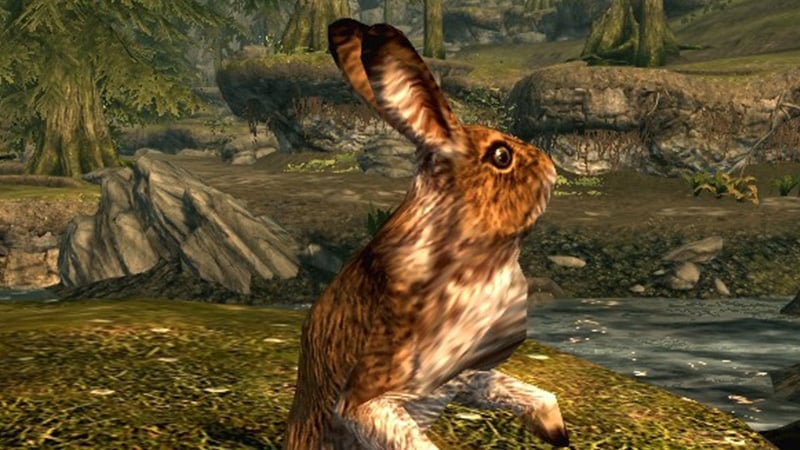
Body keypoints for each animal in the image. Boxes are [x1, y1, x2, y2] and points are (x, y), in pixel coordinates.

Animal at [283, 18, 568, 450]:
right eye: (502, 156)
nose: (551, 165)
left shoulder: (464, 374)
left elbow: (522, 390)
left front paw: (557, 430)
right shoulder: (370, 396)